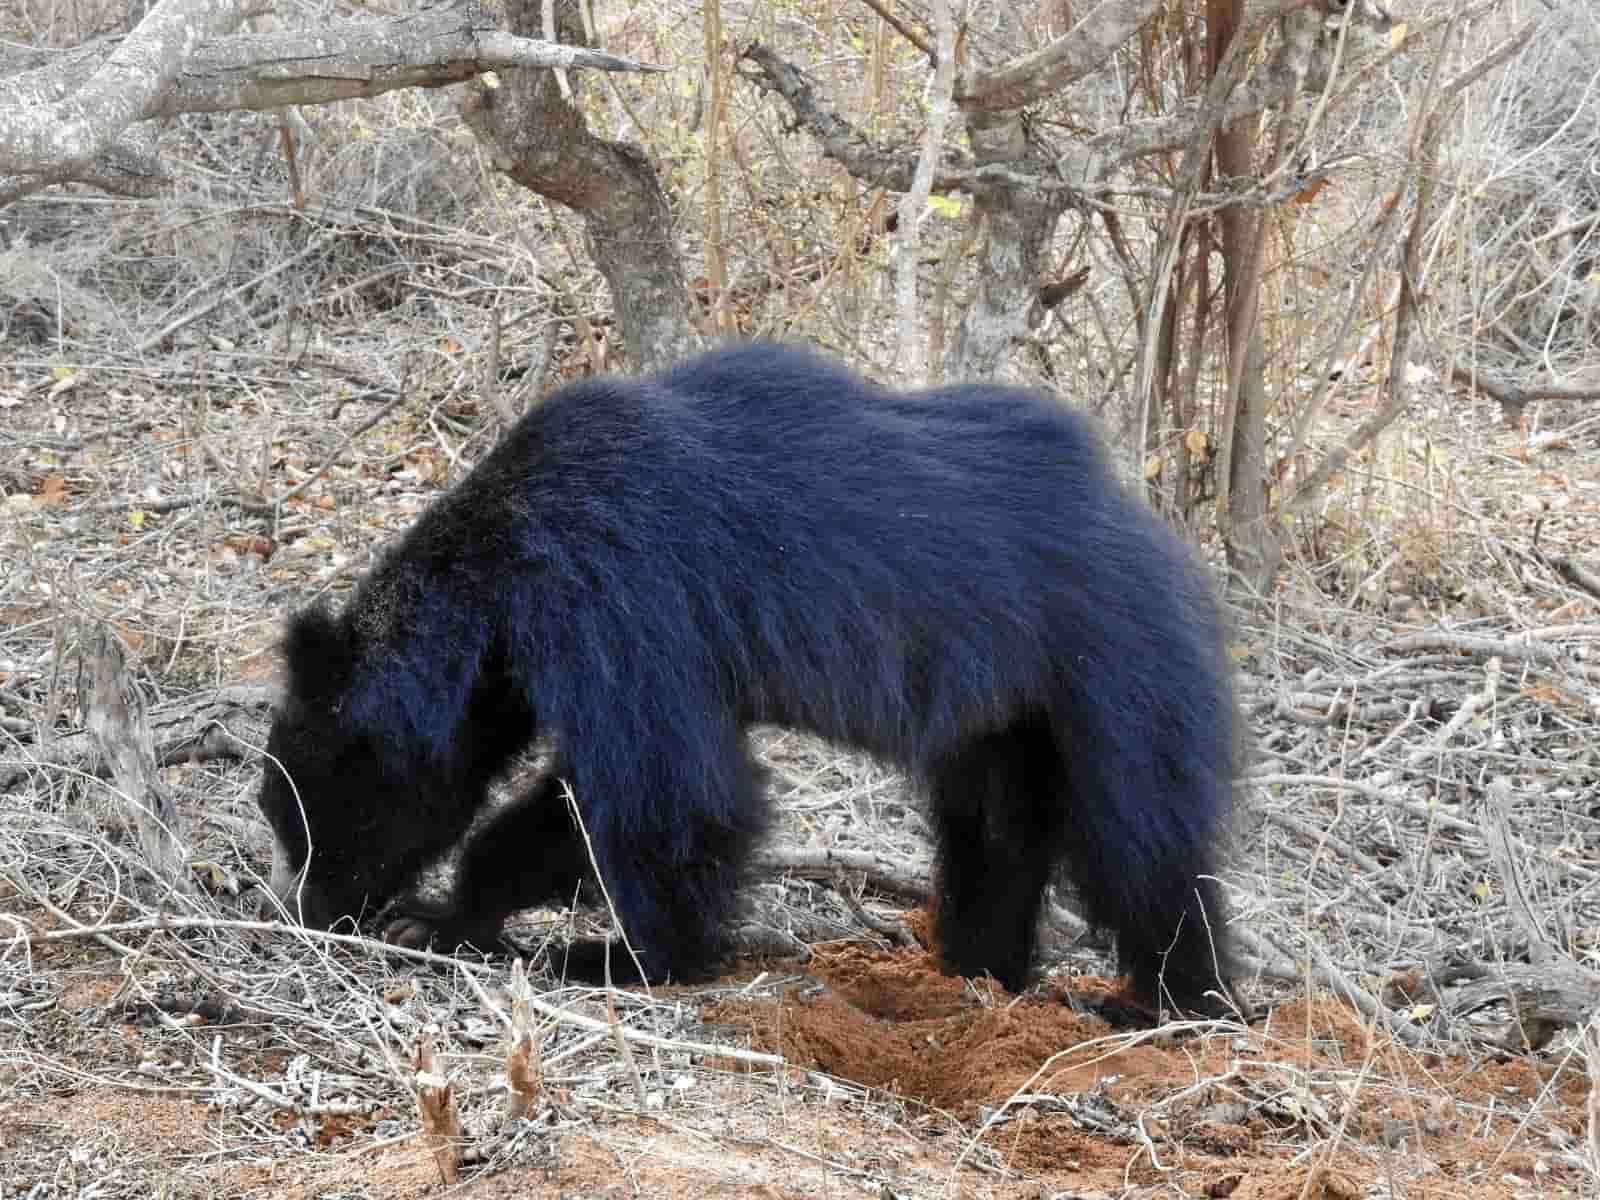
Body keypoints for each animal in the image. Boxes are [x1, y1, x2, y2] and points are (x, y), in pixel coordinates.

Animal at [258, 341, 1239, 1015]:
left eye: (324, 819)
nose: (314, 911)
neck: (493, 575)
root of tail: (1163, 541)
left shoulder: (616, 590)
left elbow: (666, 788)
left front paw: (595, 955)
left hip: (1115, 671)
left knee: (1141, 841)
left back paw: (1169, 1002)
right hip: (1005, 710)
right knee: (994, 829)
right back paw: (978, 966)